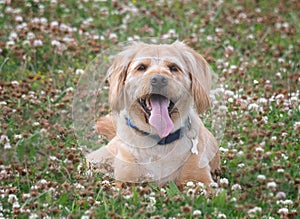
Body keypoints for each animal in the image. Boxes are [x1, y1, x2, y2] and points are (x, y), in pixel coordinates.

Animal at [86, 42, 220, 187]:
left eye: (174, 68)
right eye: (141, 67)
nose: (159, 79)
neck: (158, 141)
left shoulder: (200, 180)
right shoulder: (126, 179)